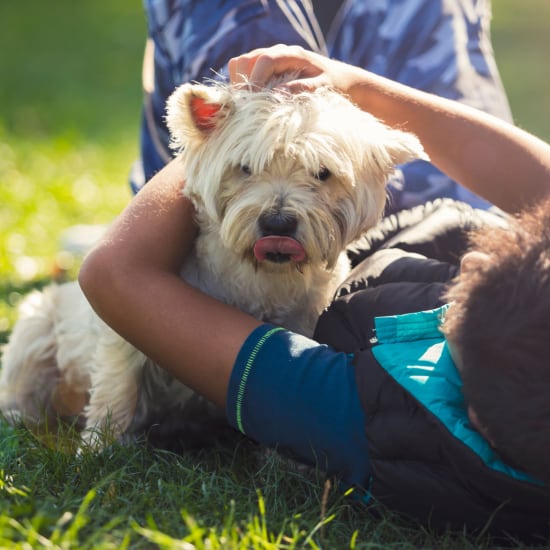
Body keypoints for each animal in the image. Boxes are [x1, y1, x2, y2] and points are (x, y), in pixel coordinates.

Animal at [0, 80, 430, 450]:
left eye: (322, 174)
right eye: (245, 168)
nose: (277, 223)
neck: (261, 276)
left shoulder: (303, 323)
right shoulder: (120, 324)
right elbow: (117, 386)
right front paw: (97, 449)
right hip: (37, 324)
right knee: (24, 385)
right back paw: (22, 419)